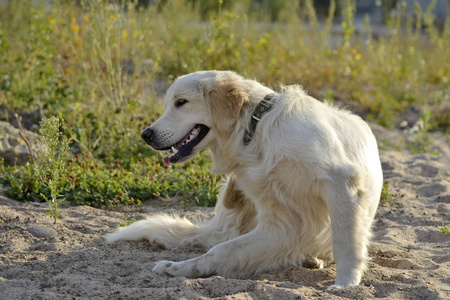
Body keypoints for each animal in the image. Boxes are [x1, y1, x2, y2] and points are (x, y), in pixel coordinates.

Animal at [106, 71, 384, 288]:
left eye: (181, 102)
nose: (145, 134)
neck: (256, 130)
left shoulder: (340, 182)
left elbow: (344, 239)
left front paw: (346, 282)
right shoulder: (281, 224)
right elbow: (221, 251)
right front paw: (180, 267)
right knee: (216, 237)